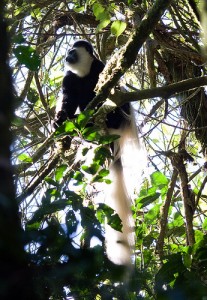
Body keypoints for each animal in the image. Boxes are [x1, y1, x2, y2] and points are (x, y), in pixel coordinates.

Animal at [55, 39, 139, 268]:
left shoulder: (100, 68)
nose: (67, 56)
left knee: (119, 102)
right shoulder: (69, 79)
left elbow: (110, 83)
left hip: (121, 117)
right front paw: (59, 120)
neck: (83, 73)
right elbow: (68, 101)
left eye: (72, 51)